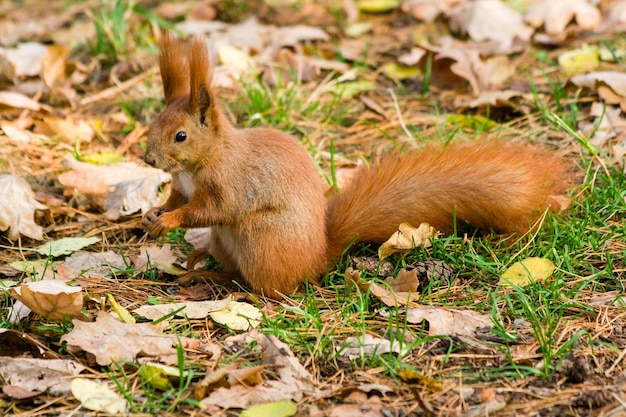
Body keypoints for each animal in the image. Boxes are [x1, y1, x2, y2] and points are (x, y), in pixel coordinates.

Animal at [141, 33, 572, 300]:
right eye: (154, 122)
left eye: (180, 136)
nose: (148, 160)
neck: (204, 160)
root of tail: (317, 258)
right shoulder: (182, 184)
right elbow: (176, 198)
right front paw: (153, 213)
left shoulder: (230, 183)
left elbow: (212, 209)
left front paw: (169, 221)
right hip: (227, 241)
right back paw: (202, 267)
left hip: (260, 239)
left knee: (268, 288)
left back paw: (227, 284)